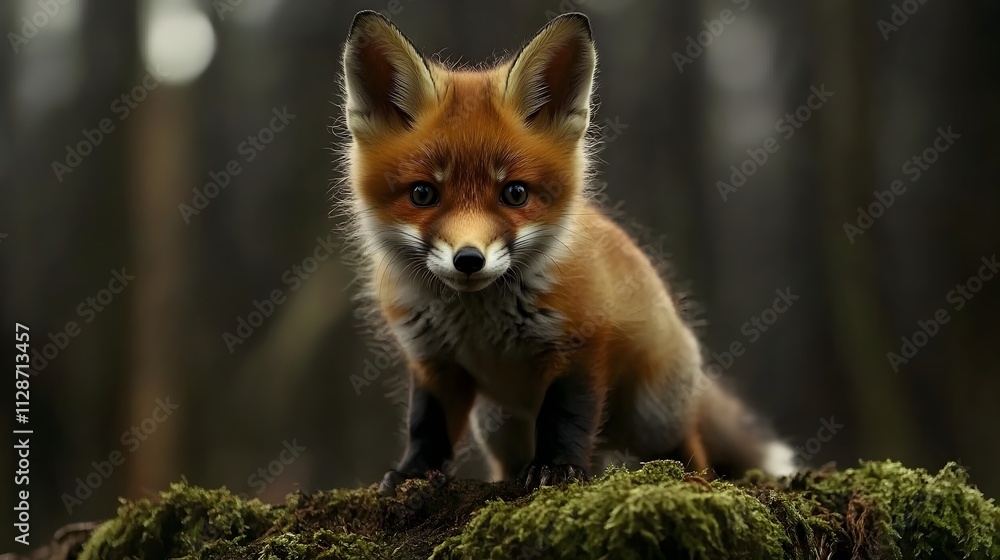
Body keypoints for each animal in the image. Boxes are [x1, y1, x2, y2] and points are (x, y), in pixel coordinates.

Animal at [338, 11, 797, 494]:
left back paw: (693, 479)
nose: (469, 260)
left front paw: (557, 468)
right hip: (501, 428)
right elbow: (427, 425)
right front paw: (413, 473)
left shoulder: (580, 343)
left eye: (515, 193)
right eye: (423, 194)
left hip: (653, 418)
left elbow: (565, 417)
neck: (480, 325)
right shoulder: (433, 360)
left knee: (691, 449)